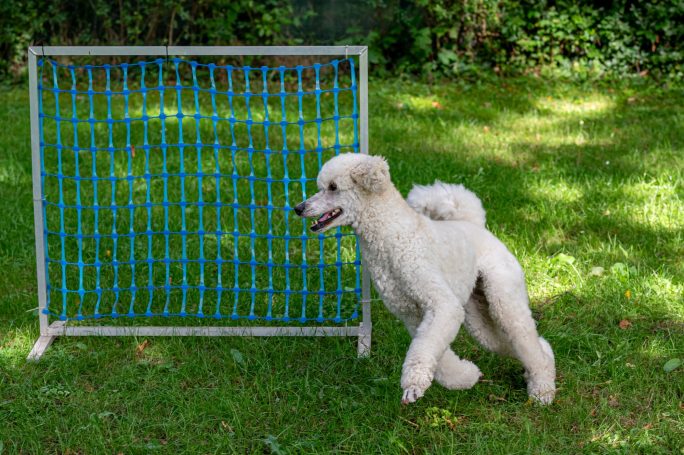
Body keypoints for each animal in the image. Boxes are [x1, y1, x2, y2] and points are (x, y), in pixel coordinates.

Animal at [294, 154, 556, 406]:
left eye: (333, 187)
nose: (298, 208)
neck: (391, 234)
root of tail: (475, 225)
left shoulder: (442, 304)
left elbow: (424, 348)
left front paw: (413, 385)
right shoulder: (412, 314)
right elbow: (435, 354)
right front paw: (464, 377)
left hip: (503, 296)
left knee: (524, 336)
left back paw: (542, 390)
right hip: (478, 315)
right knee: (516, 343)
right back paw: (542, 365)